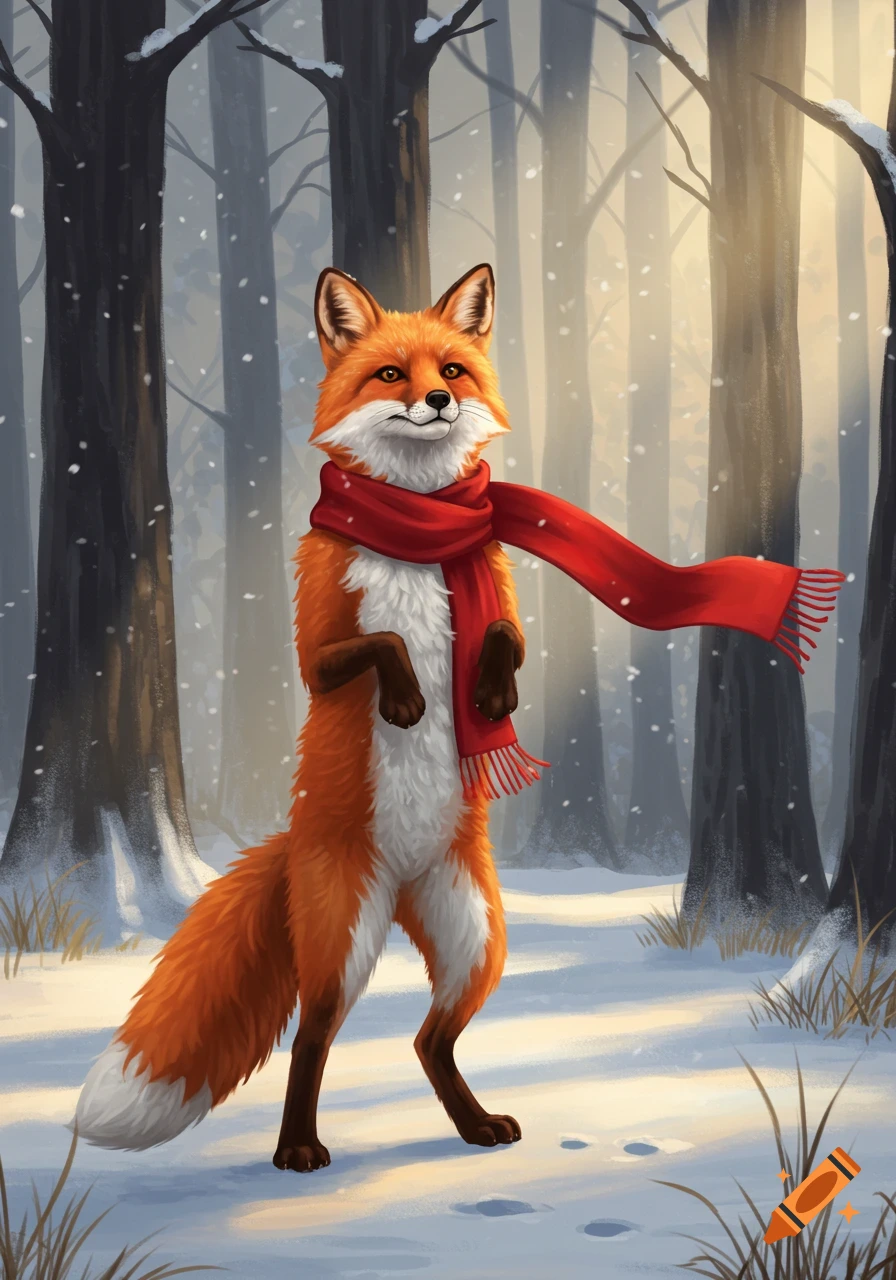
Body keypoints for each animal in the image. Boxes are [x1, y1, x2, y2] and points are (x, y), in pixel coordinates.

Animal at [75, 263, 531, 1170]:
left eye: (451, 371)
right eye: (391, 375)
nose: (437, 401)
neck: (419, 535)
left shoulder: (492, 578)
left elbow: (504, 633)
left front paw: (490, 697)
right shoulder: (317, 649)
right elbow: (381, 642)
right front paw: (408, 700)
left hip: (476, 945)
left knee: (429, 1041)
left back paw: (474, 1127)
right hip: (342, 945)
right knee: (312, 1040)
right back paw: (297, 1151)